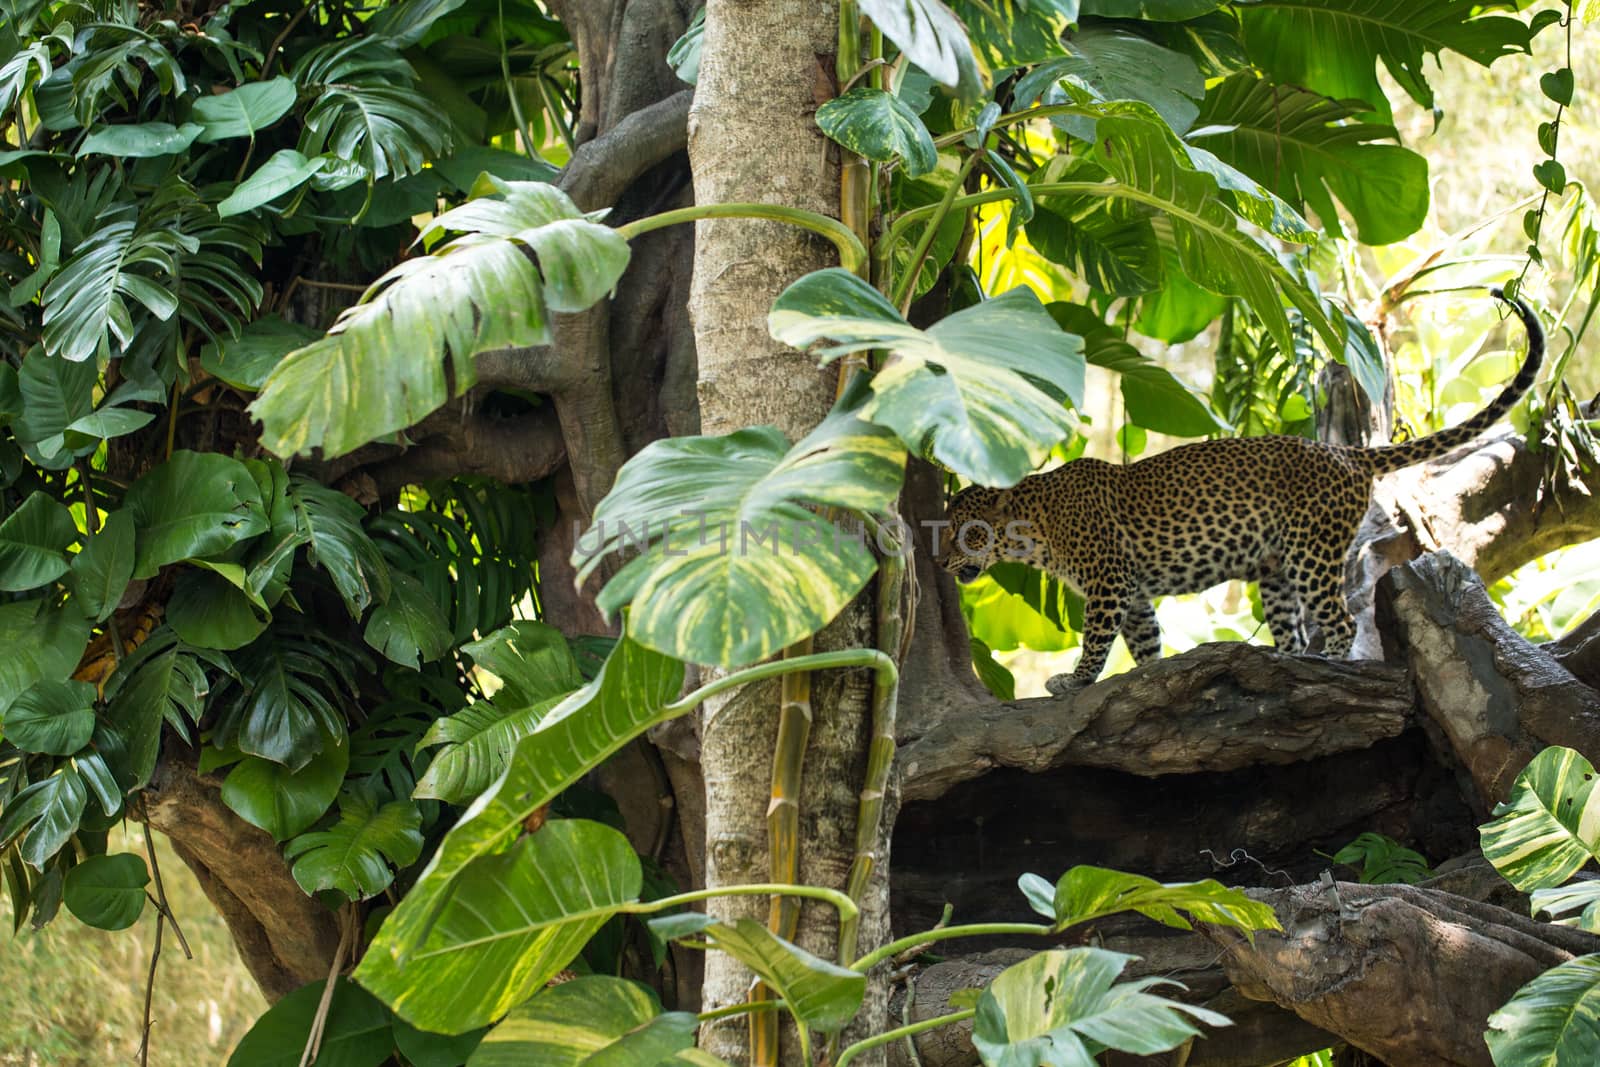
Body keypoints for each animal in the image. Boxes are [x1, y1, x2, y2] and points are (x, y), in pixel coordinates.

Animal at [940, 287, 1542, 697]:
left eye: (965, 534)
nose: (941, 561)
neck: (1034, 525)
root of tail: (1345, 454)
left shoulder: (1109, 581)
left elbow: (1094, 640)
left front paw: (1075, 680)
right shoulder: (1133, 591)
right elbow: (1145, 641)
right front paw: (1148, 679)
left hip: (1311, 550)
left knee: (1342, 617)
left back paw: (1333, 666)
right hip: (1275, 571)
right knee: (1295, 629)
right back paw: (1290, 664)